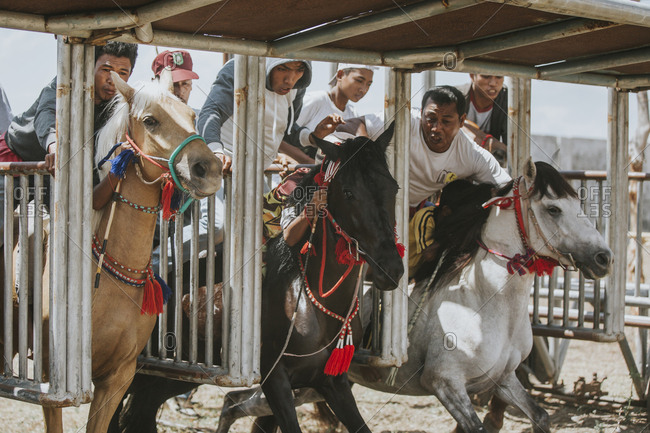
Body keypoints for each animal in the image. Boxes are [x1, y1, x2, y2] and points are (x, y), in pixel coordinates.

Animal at [215, 159, 613, 433]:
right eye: (553, 209)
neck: (484, 301)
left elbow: (541, 416)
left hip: (311, 385)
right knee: (233, 403)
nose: (603, 257)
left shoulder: (503, 379)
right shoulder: (445, 384)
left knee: (240, 405)